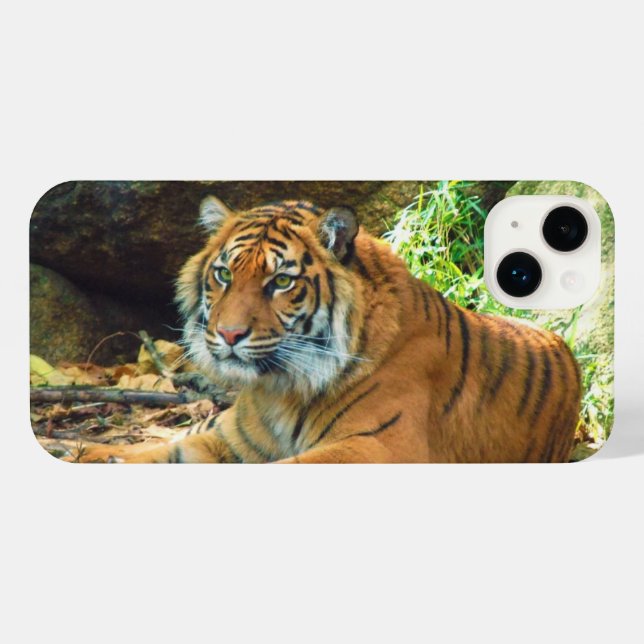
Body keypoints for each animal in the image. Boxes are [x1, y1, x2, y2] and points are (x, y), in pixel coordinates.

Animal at [73, 195, 581, 463]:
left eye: (281, 281)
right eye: (223, 274)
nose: (230, 335)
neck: (279, 390)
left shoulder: (378, 445)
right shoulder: (228, 439)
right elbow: (164, 452)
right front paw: (97, 456)